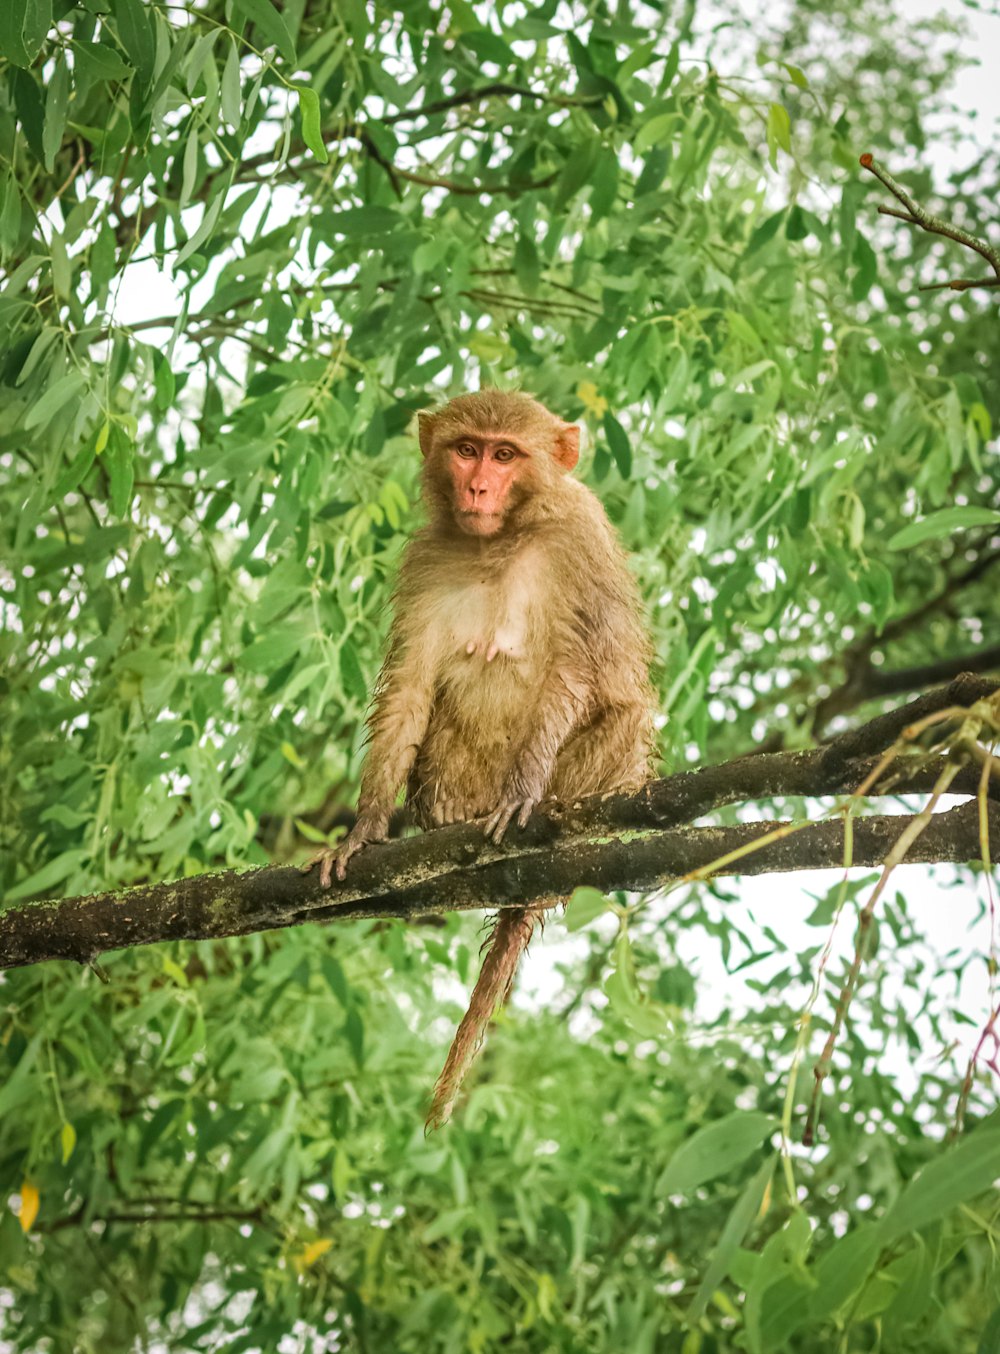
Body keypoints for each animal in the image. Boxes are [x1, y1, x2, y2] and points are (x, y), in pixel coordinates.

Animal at [307, 387, 657, 1126]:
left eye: (505, 455)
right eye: (467, 449)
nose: (477, 486)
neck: (501, 540)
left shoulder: (578, 539)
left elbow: (575, 671)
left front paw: (524, 791)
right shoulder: (426, 559)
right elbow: (411, 686)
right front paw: (363, 829)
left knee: (628, 714)